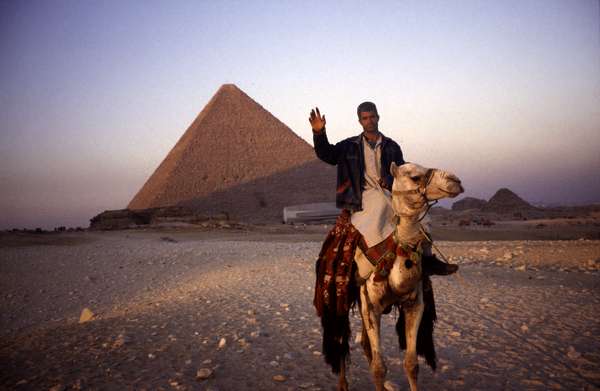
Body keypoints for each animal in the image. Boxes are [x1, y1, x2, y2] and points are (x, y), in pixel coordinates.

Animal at [318, 161, 464, 390]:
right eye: (414, 176)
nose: (455, 181)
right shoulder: (371, 306)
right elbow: (379, 368)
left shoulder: (415, 304)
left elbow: (411, 363)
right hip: (340, 299)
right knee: (341, 339)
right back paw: (343, 384)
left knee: (364, 343)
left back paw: (388, 385)